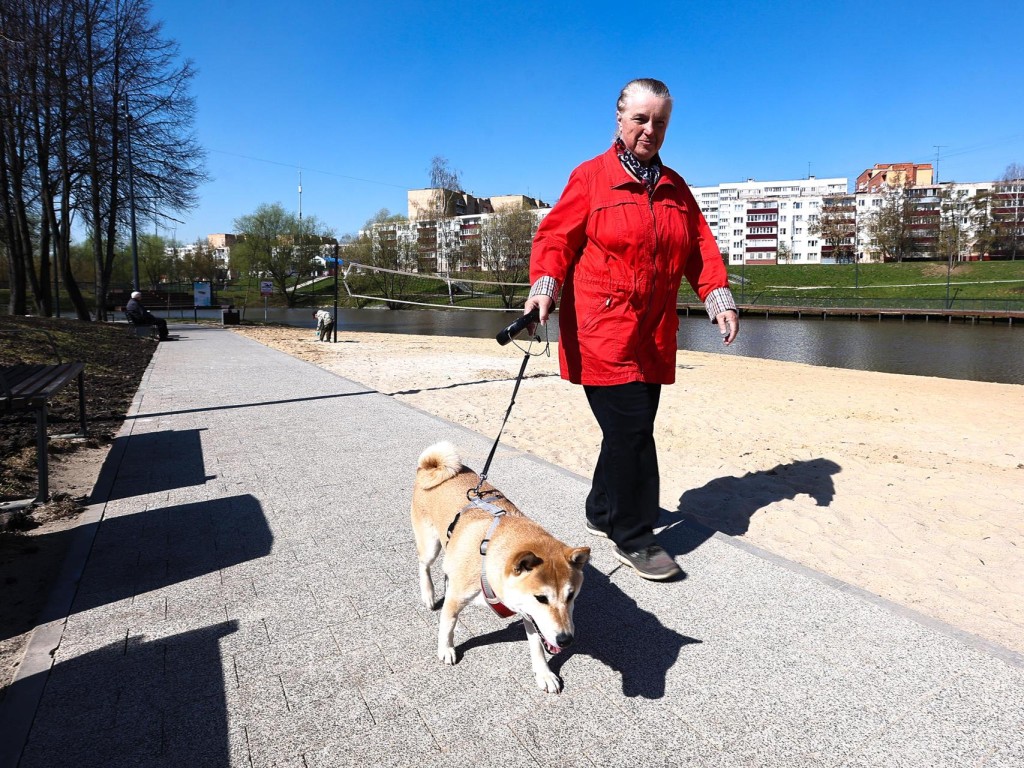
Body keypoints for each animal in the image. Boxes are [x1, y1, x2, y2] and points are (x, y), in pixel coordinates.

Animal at [409, 442, 593, 696]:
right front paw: (445, 649)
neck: (487, 556)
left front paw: (544, 674)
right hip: (430, 546)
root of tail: (430, 467)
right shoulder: (457, 600)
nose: (566, 640)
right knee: (424, 565)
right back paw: (428, 594)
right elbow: (447, 626)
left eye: (571, 595)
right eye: (541, 598)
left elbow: (537, 645)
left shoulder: (528, 613)